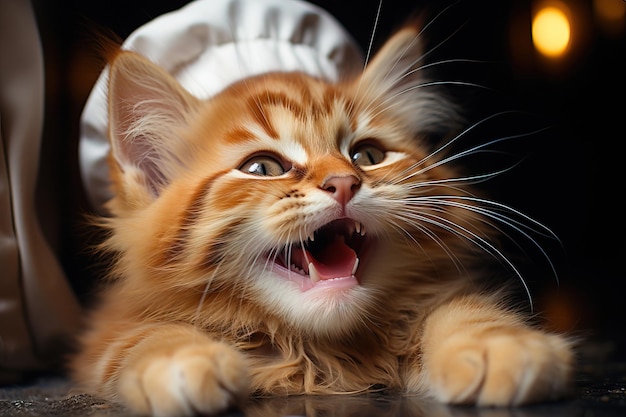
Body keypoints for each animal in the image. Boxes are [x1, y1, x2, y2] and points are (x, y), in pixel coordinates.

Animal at [70, 17, 572, 416]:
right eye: (263, 168)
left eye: (367, 156)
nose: (344, 183)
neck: (322, 352)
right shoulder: (111, 328)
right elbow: (147, 337)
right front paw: (184, 361)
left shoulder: (439, 295)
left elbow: (464, 311)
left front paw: (498, 346)